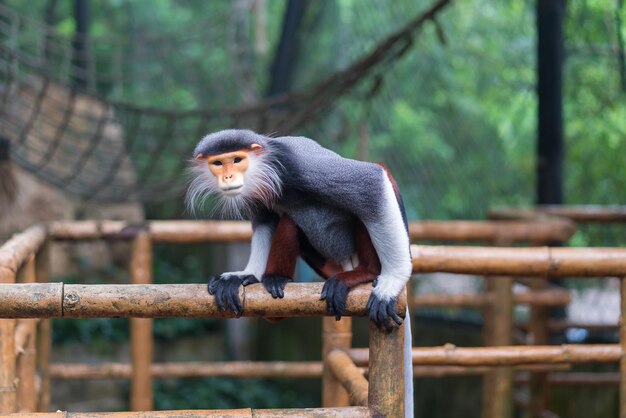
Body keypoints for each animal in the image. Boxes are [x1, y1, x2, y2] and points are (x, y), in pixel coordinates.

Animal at [188, 127, 412, 330]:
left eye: (236, 160)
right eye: (218, 163)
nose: (228, 177)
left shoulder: (293, 166)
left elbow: (371, 181)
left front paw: (392, 282)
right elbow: (264, 221)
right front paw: (247, 274)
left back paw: (366, 272)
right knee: (288, 221)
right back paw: (277, 278)